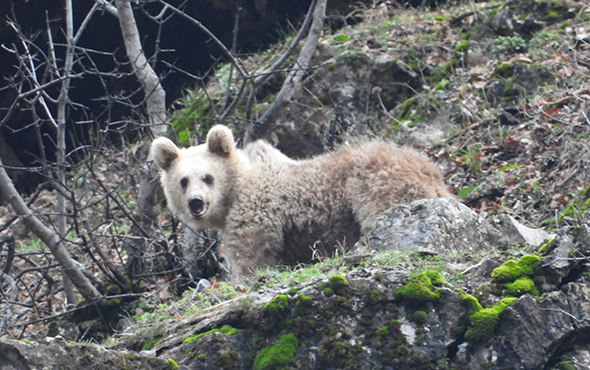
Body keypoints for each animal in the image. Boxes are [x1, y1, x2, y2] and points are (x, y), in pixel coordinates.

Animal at [150, 124, 456, 280]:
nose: (196, 202)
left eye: (208, 177)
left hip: (375, 183)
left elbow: (249, 257)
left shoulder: (257, 214)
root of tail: (432, 170)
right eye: (183, 180)